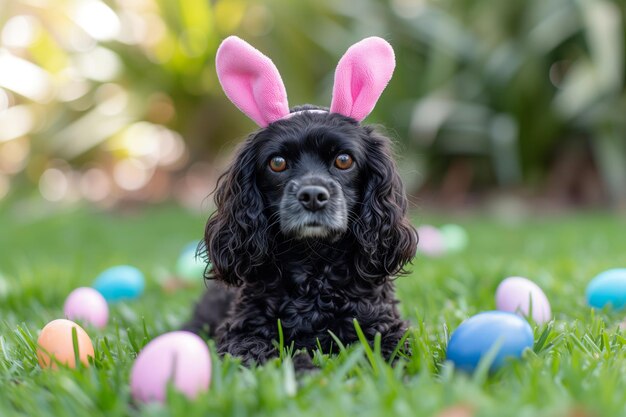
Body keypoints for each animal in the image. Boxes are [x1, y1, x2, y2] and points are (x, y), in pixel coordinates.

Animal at [185, 106, 420, 364]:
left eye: (344, 160)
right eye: (277, 163)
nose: (313, 196)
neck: (312, 265)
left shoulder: (384, 328)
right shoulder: (242, 332)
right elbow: (254, 354)